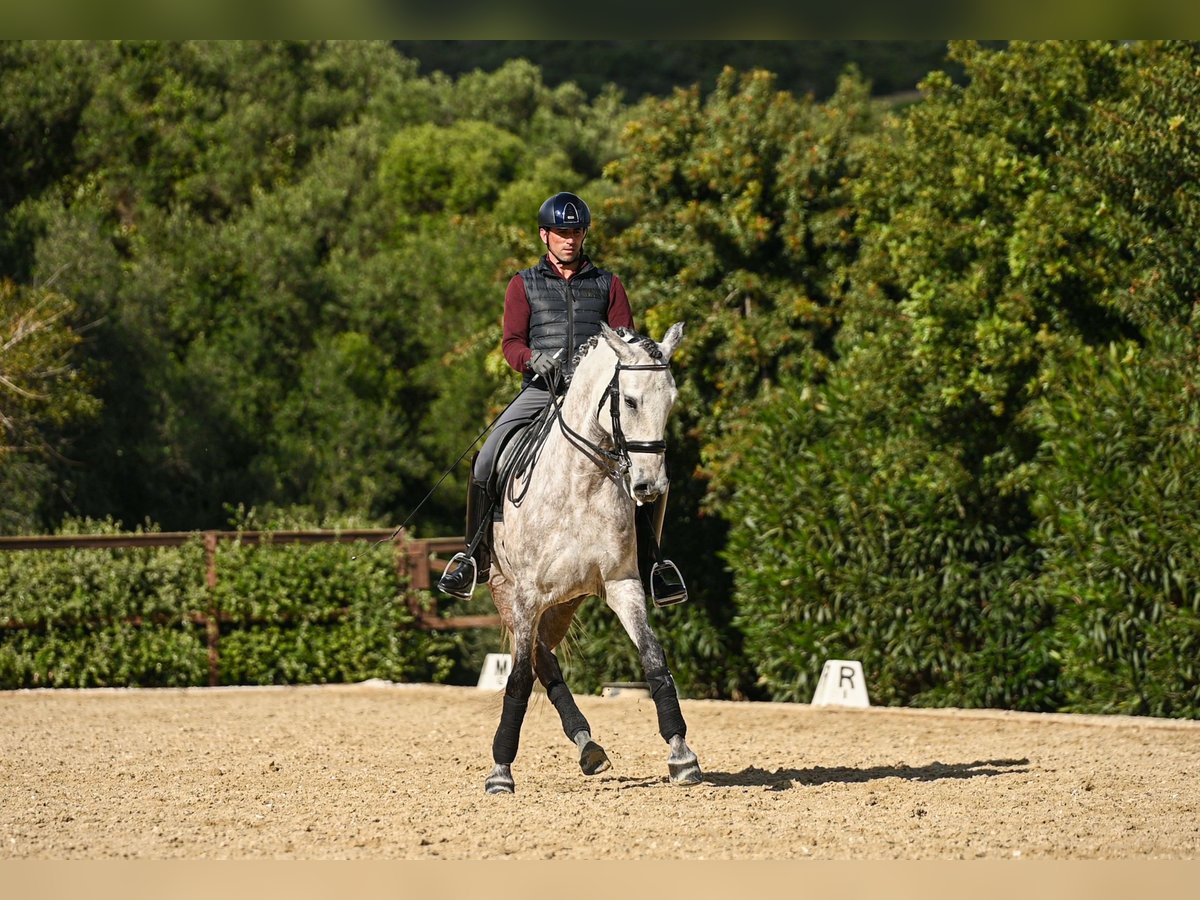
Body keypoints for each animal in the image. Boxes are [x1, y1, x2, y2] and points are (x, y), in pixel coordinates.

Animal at [480, 324, 700, 796]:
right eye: (630, 400)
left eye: (671, 400)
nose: (649, 486)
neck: (582, 483)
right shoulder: (525, 595)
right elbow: (518, 676)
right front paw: (500, 772)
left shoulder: (622, 584)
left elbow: (654, 659)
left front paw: (681, 754)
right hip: (506, 592)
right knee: (538, 660)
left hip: (564, 604)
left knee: (546, 657)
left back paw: (588, 747)